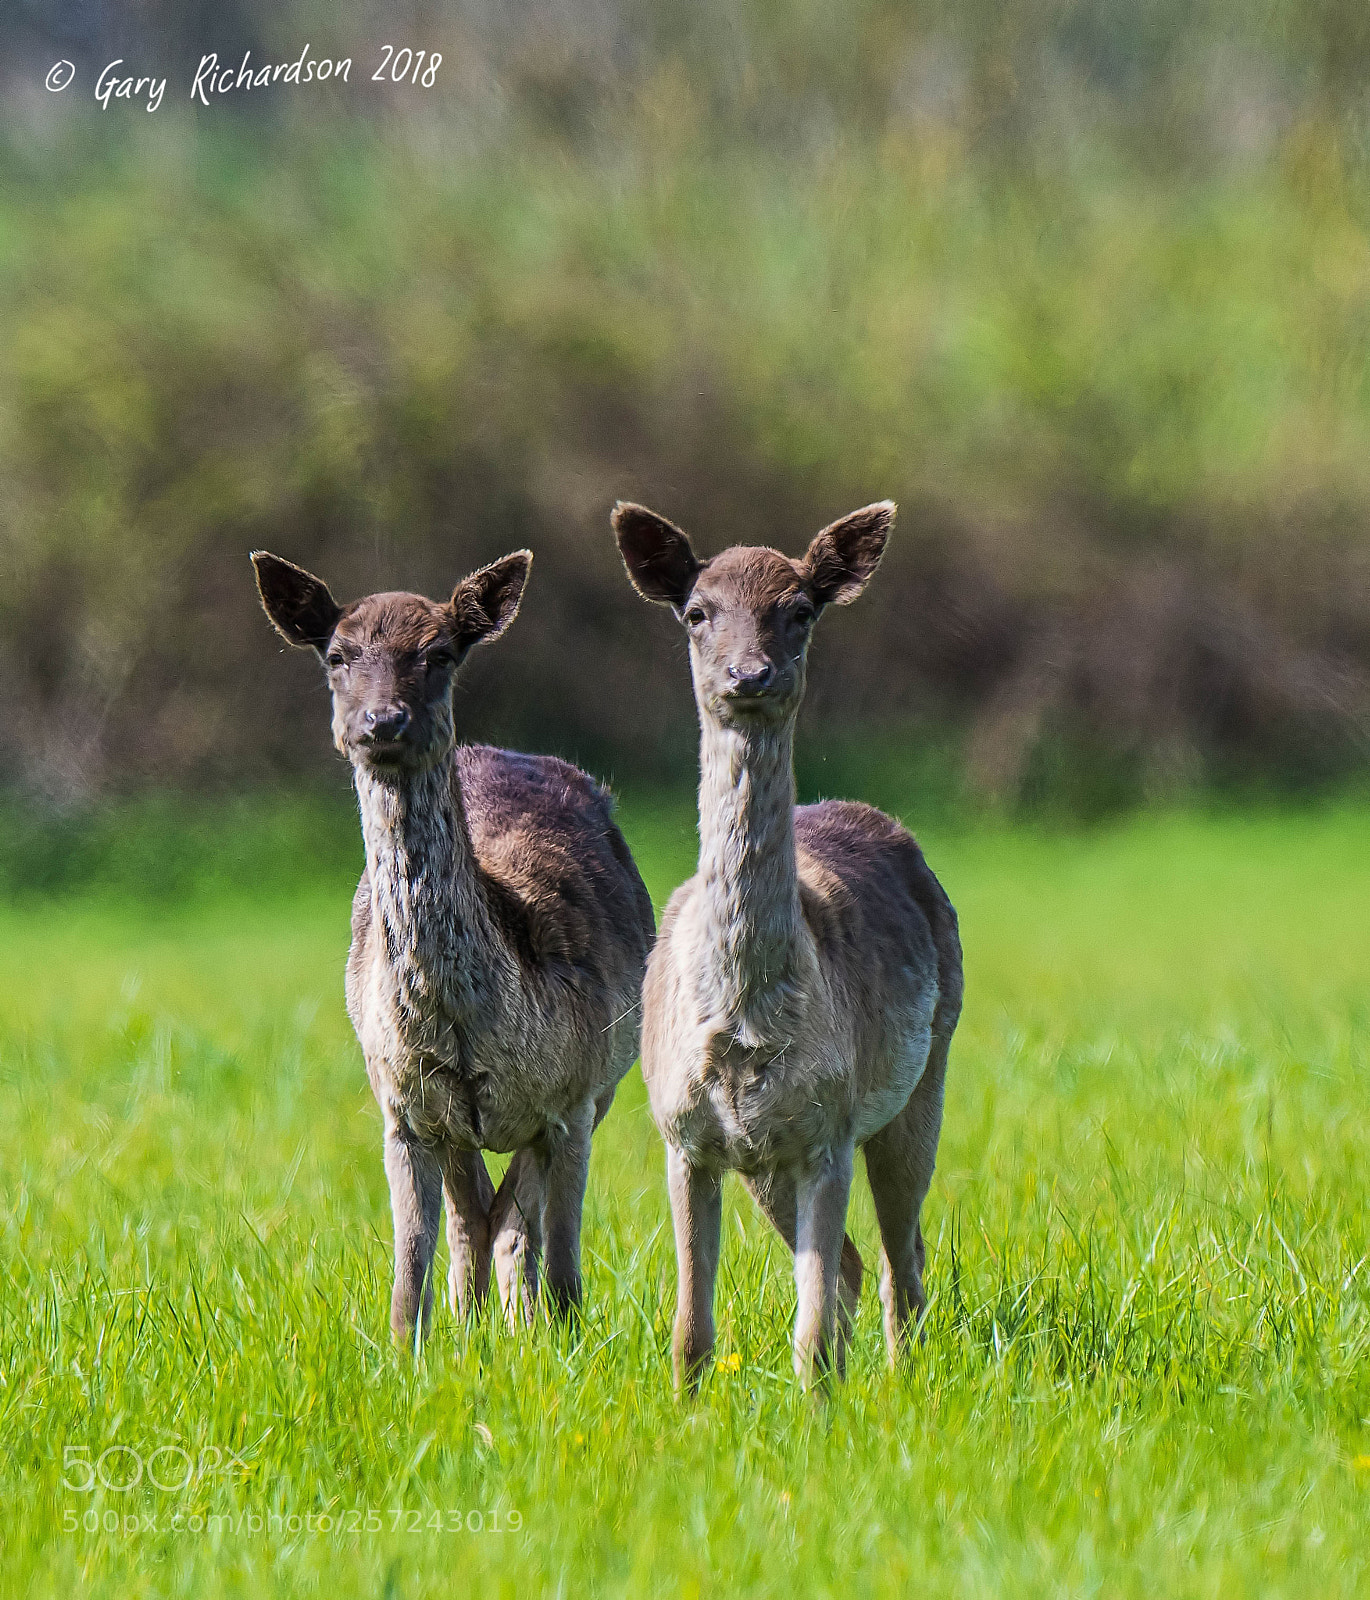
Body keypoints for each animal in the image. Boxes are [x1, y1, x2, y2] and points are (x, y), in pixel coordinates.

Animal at [252, 548, 655, 1347]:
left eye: (438, 653)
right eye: (338, 655)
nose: (382, 719)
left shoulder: (577, 1093)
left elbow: (558, 1259)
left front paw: (557, 1344)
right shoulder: (402, 1105)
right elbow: (413, 1270)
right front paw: (411, 1351)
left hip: (605, 1083)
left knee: (514, 1223)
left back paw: (516, 1325)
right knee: (478, 1219)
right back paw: (474, 1324)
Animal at [612, 500, 962, 1389]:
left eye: (800, 609)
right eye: (697, 612)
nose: (749, 675)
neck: (742, 1022)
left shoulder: (827, 1126)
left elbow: (810, 1342)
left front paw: (819, 1412)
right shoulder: (685, 1134)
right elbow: (689, 1334)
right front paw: (688, 1408)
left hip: (924, 1075)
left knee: (902, 1261)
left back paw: (903, 1382)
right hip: (768, 1160)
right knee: (856, 1264)